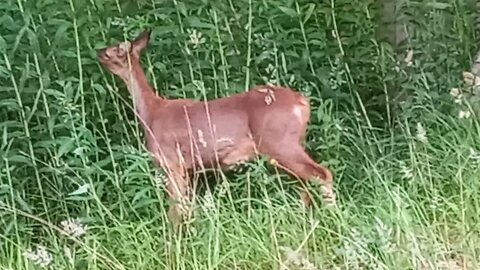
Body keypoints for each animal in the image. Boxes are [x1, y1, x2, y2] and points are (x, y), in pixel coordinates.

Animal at [96, 29, 336, 228]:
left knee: (322, 173)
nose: (98, 51)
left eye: (115, 49)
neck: (151, 112)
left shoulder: (172, 163)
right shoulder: (190, 170)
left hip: (279, 143)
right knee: (305, 182)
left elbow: (175, 212)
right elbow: (189, 209)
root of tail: (302, 102)